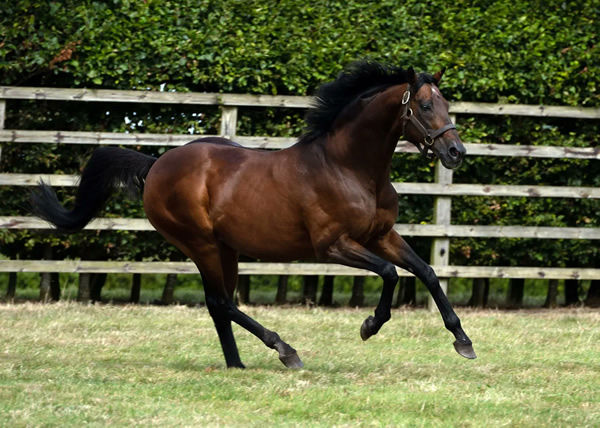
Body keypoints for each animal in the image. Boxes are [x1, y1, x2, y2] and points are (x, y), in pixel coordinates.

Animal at [32, 60, 476, 368]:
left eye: (446, 103)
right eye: (424, 105)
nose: (456, 152)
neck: (348, 167)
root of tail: (156, 165)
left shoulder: (381, 235)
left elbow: (426, 271)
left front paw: (463, 341)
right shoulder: (333, 245)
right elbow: (390, 273)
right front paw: (369, 326)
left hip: (225, 248)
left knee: (219, 304)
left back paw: (238, 364)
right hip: (201, 244)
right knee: (221, 301)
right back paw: (284, 350)